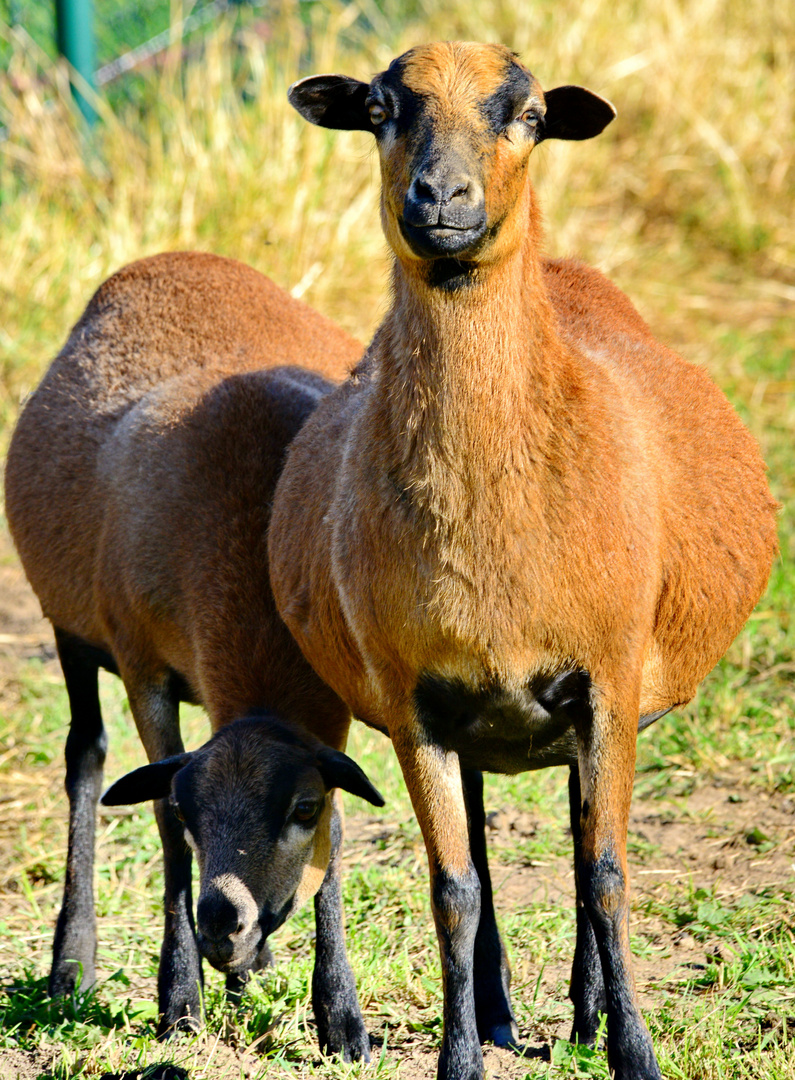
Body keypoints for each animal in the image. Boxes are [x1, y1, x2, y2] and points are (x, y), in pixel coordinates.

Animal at [3, 248, 384, 1058]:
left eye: (301, 806)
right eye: (190, 806)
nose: (221, 927)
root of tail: (179, 257)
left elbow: (336, 842)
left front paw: (340, 1016)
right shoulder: (143, 669)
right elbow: (168, 837)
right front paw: (179, 1000)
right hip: (71, 627)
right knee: (86, 758)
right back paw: (72, 965)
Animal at [270, 42, 777, 1080]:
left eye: (530, 115)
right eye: (380, 109)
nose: (439, 197)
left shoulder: (608, 677)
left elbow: (606, 874)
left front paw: (632, 1050)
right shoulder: (414, 702)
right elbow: (454, 888)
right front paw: (460, 1058)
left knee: (586, 847)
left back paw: (584, 1011)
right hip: (472, 723)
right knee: (484, 862)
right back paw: (504, 1013)